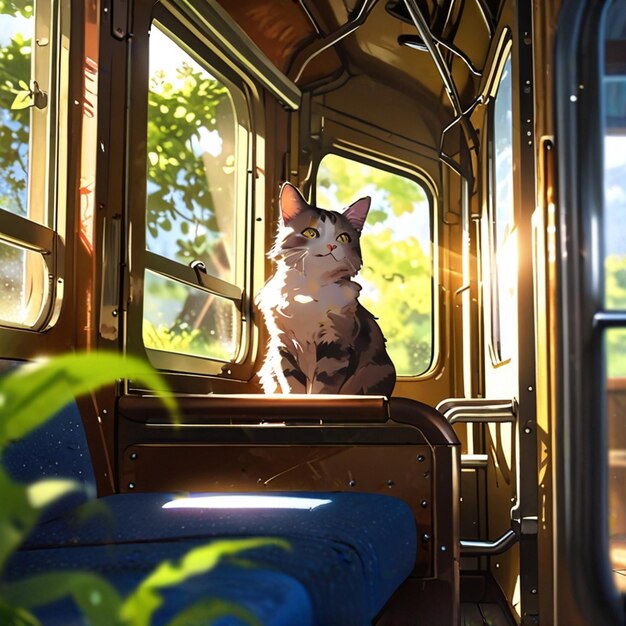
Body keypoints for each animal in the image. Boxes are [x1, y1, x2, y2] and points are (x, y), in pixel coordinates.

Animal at [255, 180, 394, 394]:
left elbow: (323, 387)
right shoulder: (283, 345)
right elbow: (291, 383)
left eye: (343, 238)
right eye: (310, 233)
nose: (331, 246)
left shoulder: (336, 344)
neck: (310, 288)